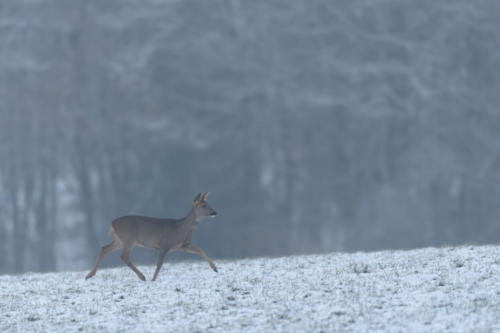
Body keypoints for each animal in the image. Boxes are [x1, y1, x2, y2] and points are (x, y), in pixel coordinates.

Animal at [85, 192, 217, 280]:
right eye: (203, 206)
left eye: (208, 203)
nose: (215, 212)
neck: (181, 228)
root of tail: (112, 223)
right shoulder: (164, 244)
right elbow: (159, 264)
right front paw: (153, 280)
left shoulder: (183, 245)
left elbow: (200, 250)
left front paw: (215, 268)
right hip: (128, 239)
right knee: (124, 256)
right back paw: (142, 276)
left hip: (119, 240)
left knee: (104, 248)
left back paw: (89, 275)